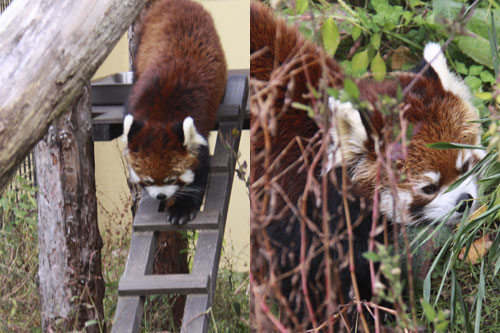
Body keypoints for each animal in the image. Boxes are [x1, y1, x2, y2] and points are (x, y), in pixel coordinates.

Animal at [123, 0, 227, 226]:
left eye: (171, 178)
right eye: (148, 180)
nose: (160, 196)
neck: (161, 115)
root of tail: (175, 2)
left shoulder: (198, 128)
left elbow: (200, 170)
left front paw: (182, 208)